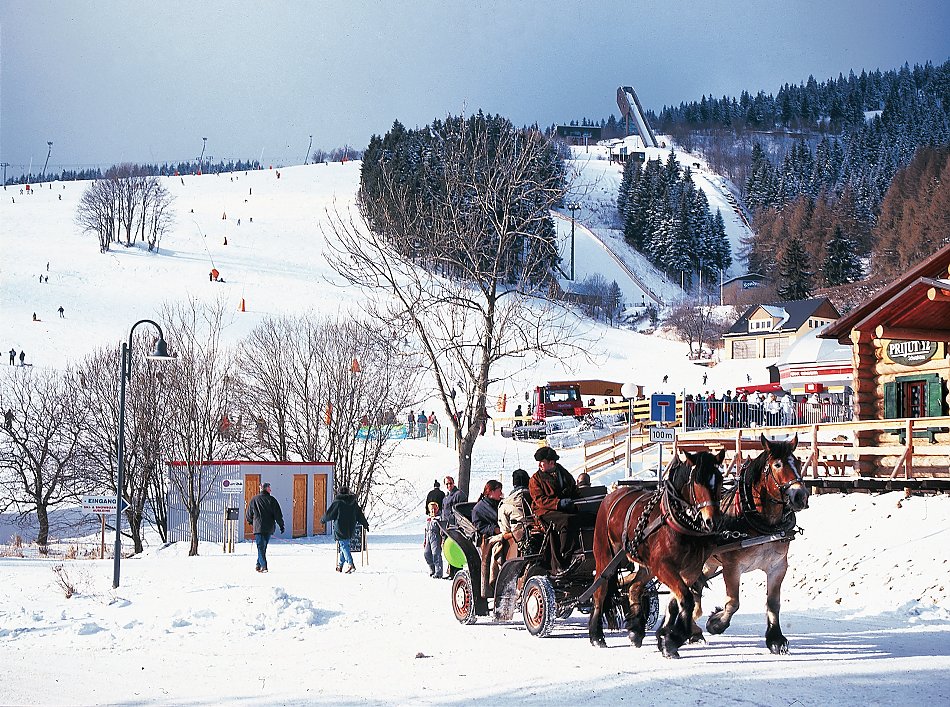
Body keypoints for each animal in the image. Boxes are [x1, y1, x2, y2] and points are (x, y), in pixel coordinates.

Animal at [588, 449, 725, 658]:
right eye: (697, 482)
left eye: (719, 479)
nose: (712, 521)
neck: (677, 521)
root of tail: (611, 496)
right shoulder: (664, 566)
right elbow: (686, 599)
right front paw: (674, 638)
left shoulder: (690, 570)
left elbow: (677, 602)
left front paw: (666, 638)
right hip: (605, 556)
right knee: (600, 591)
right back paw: (597, 636)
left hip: (647, 566)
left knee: (634, 588)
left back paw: (636, 631)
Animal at [693, 433, 809, 654]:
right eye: (777, 465)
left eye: (798, 462)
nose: (800, 496)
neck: (764, 527)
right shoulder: (732, 567)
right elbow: (733, 603)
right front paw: (716, 623)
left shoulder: (778, 566)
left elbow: (773, 603)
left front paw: (776, 639)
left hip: (709, 563)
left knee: (696, 586)